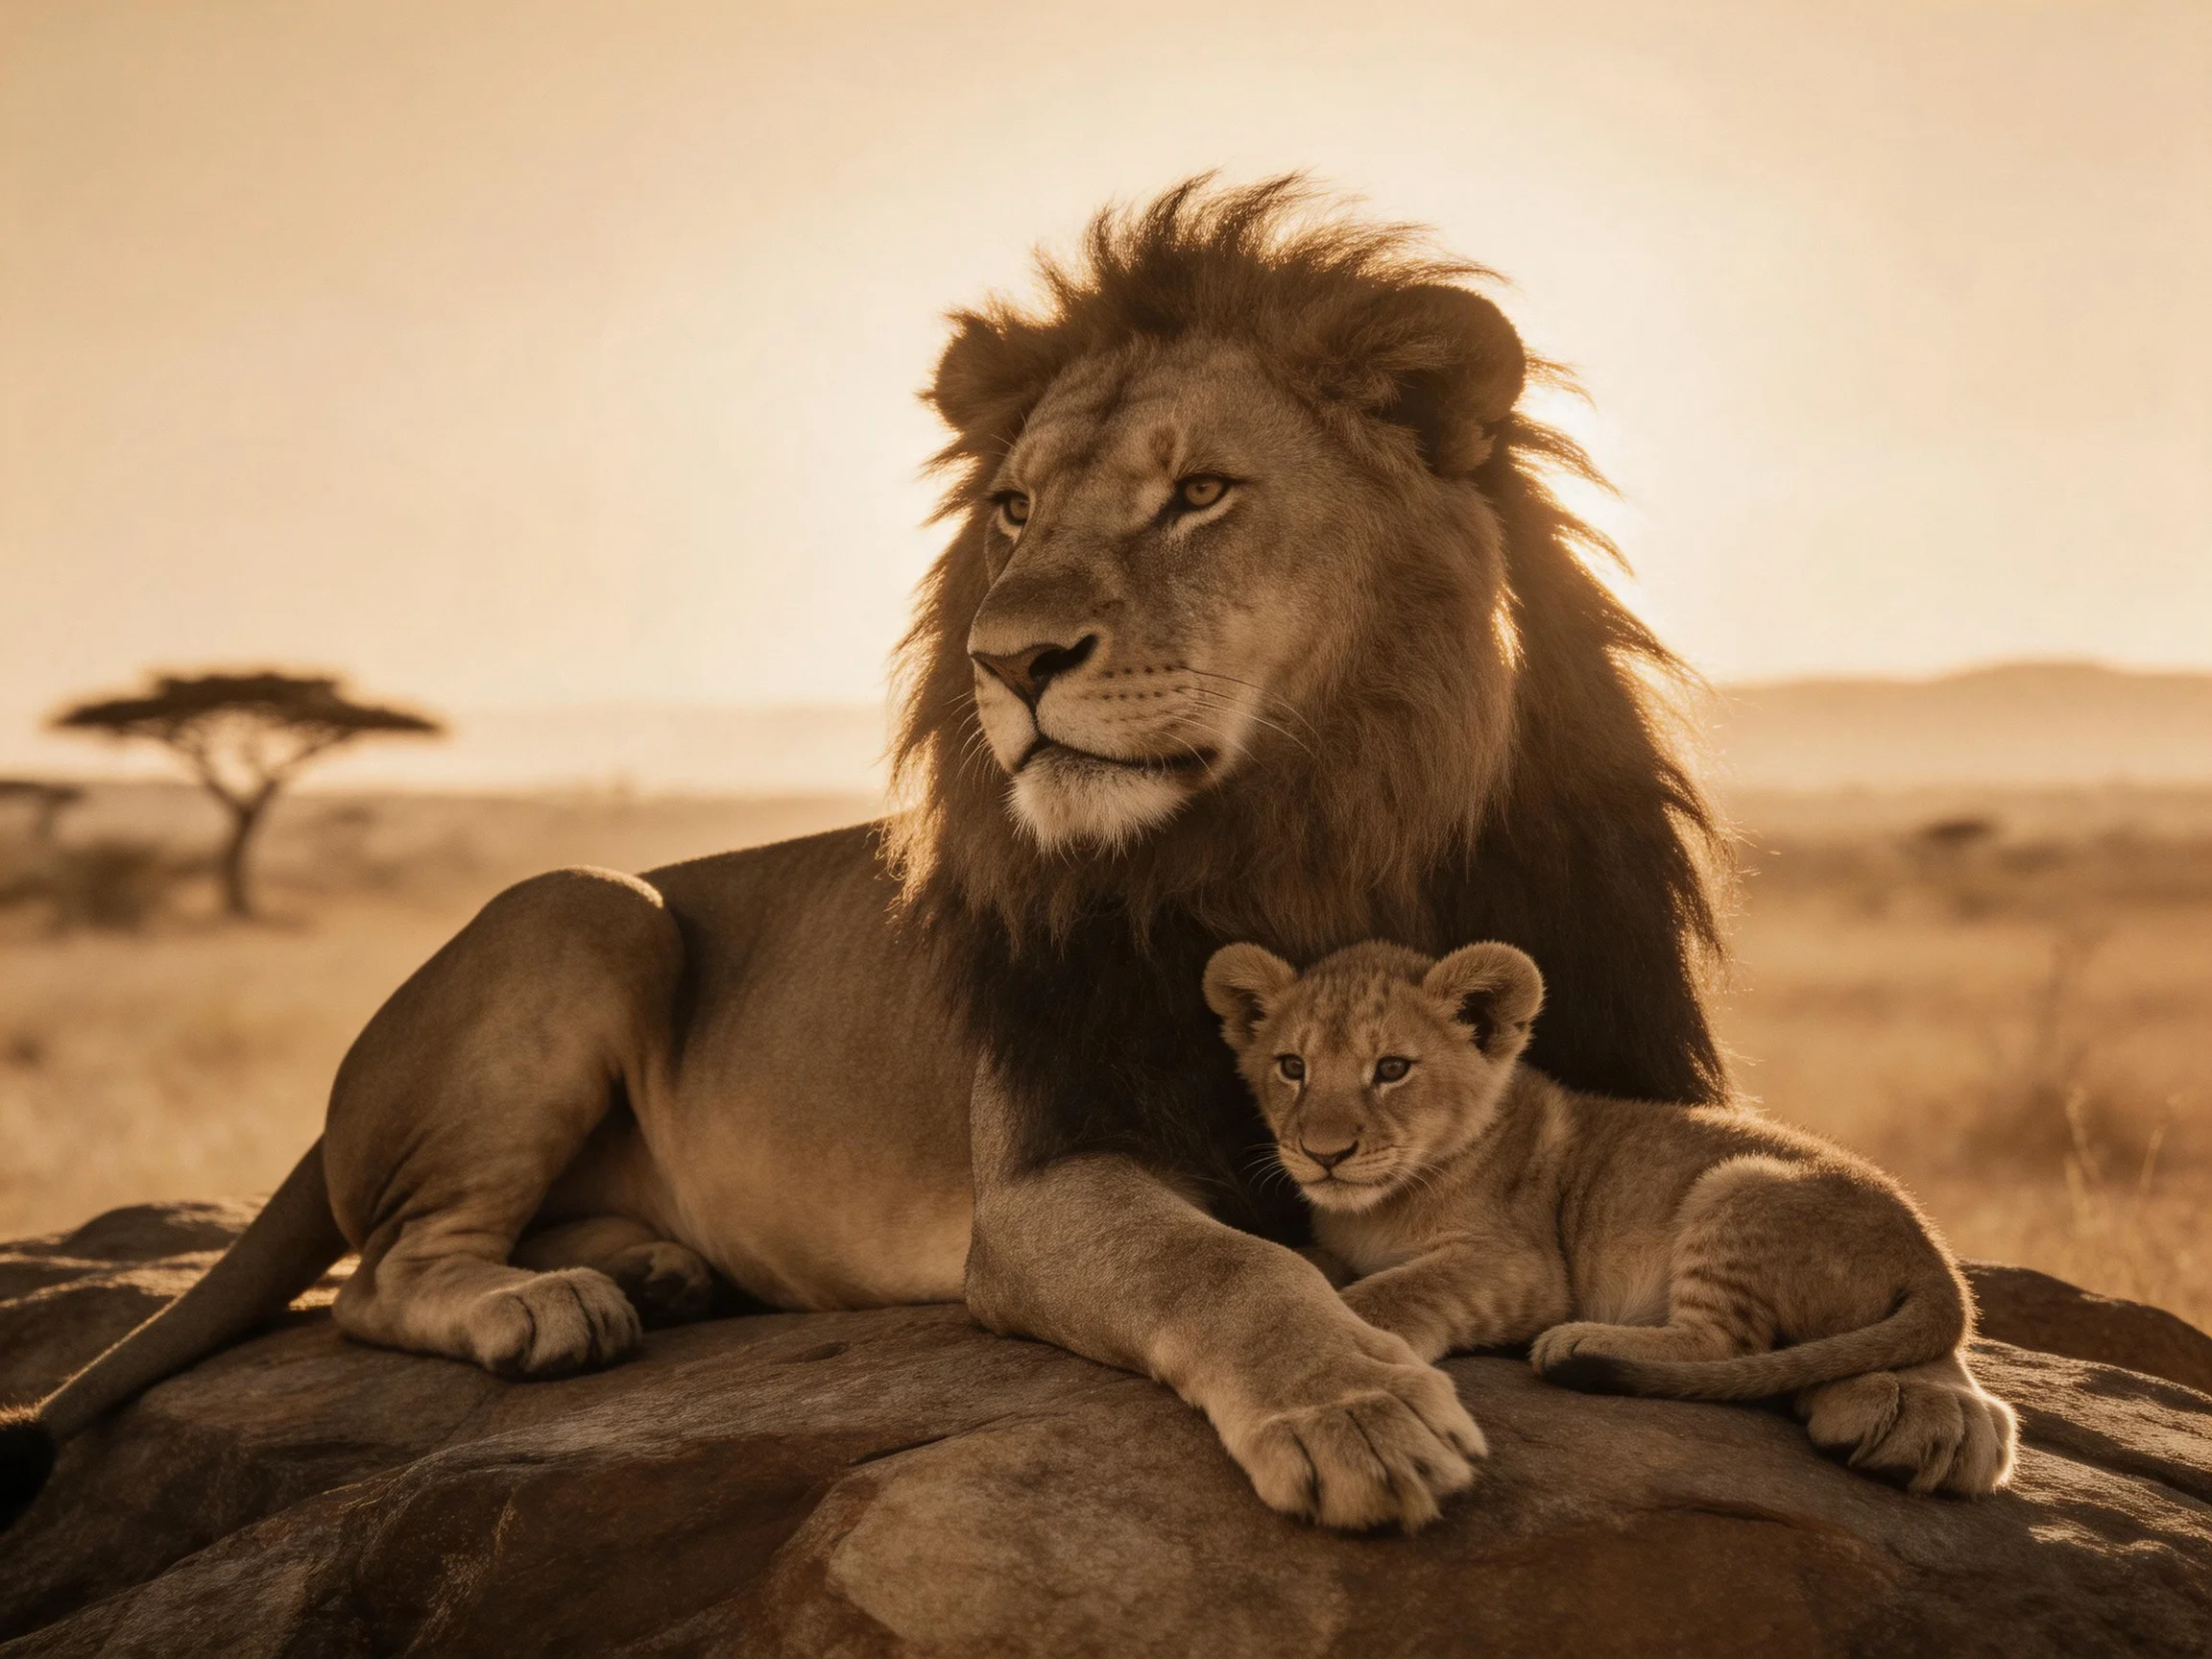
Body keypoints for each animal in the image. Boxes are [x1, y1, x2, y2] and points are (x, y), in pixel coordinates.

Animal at [2, 177, 1731, 1537]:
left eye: (1198, 492)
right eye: (1013, 510)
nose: (1005, 660)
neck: (1310, 835)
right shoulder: (1035, 1187)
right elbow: (1226, 1267)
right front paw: (1354, 1410)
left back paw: (659, 1268)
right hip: (589, 904)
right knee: (379, 1274)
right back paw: (545, 1306)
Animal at [1204, 938, 2019, 1499]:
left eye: (1393, 1070)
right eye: (1292, 1068)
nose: (1324, 1154)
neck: (1381, 1203)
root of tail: (1935, 1258)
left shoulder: (1522, 1266)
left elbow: (1391, 1291)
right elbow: (1307, 1259)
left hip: (1736, 1186)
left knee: (1723, 1343)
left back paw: (1582, 1344)